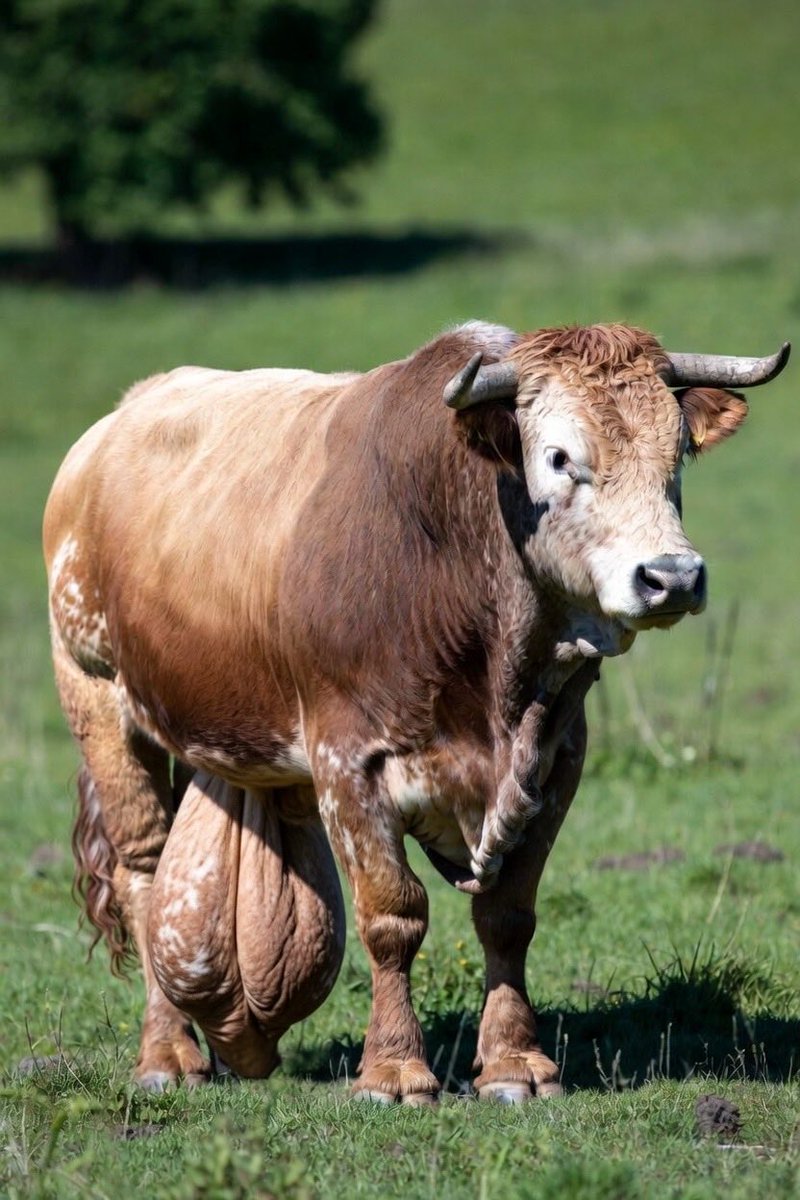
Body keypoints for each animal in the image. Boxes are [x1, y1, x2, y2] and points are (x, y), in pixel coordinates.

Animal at [43, 321, 789, 1103]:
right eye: (558, 456)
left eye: (677, 451)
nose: (671, 577)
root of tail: (113, 423)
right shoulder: (348, 765)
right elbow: (392, 916)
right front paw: (395, 1069)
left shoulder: (559, 762)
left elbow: (507, 915)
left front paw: (513, 1062)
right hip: (96, 696)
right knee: (144, 870)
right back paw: (167, 1054)